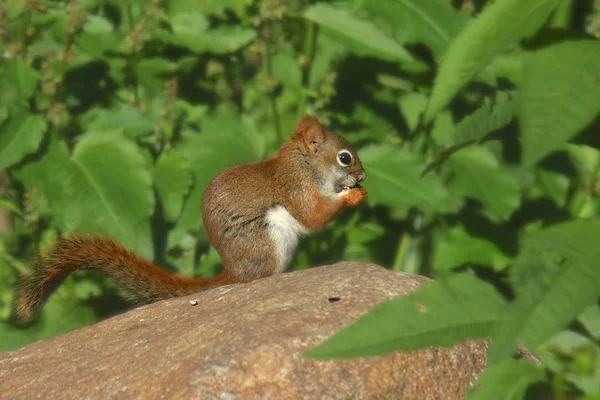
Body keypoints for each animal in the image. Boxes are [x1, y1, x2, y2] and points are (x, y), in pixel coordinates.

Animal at [11, 115, 368, 322]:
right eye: (344, 158)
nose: (363, 176)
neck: (304, 165)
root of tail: (233, 271)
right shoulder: (296, 189)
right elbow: (313, 216)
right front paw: (352, 196)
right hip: (267, 240)